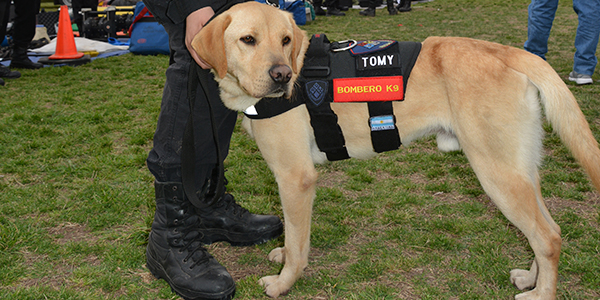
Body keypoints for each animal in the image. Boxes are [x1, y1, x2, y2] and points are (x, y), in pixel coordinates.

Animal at [192, 1, 600, 298]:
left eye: (285, 40)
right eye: (248, 39)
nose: (282, 76)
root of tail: (505, 51)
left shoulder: (296, 178)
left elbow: (296, 241)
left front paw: (283, 282)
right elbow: (294, 238)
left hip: (497, 175)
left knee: (547, 237)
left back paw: (541, 293)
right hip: (519, 171)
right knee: (550, 229)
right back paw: (532, 279)